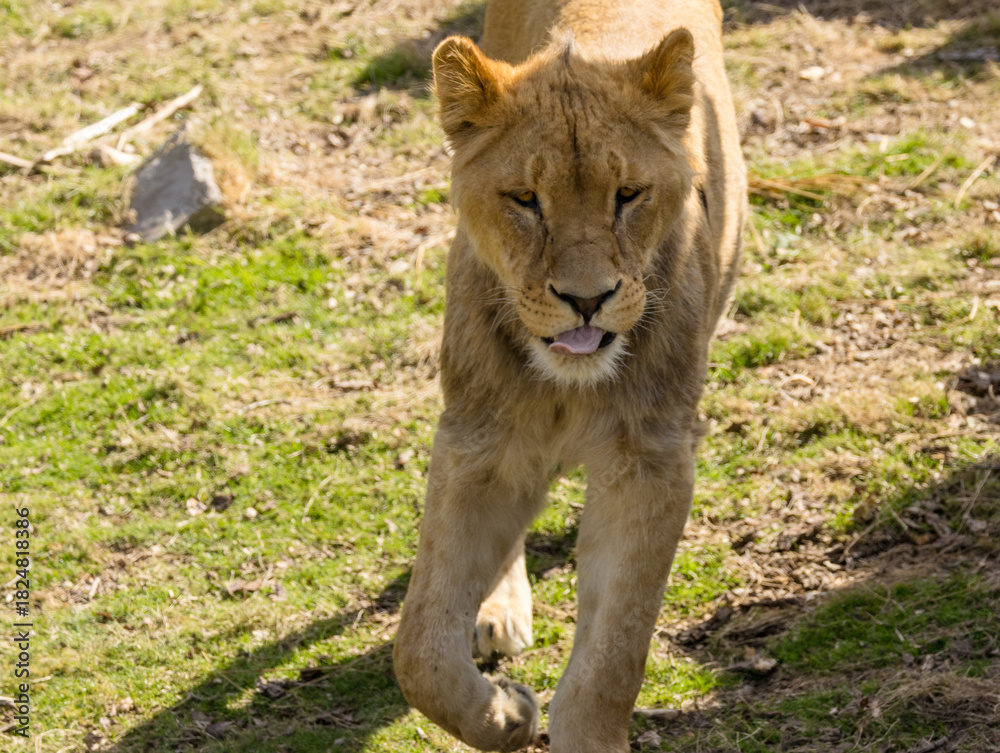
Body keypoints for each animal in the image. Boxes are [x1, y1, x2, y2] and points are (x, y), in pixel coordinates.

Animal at [392, 0, 746, 750]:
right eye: (526, 198)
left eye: (628, 194)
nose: (587, 299)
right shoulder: (477, 440)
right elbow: (420, 651)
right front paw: (507, 714)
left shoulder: (649, 462)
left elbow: (613, 654)